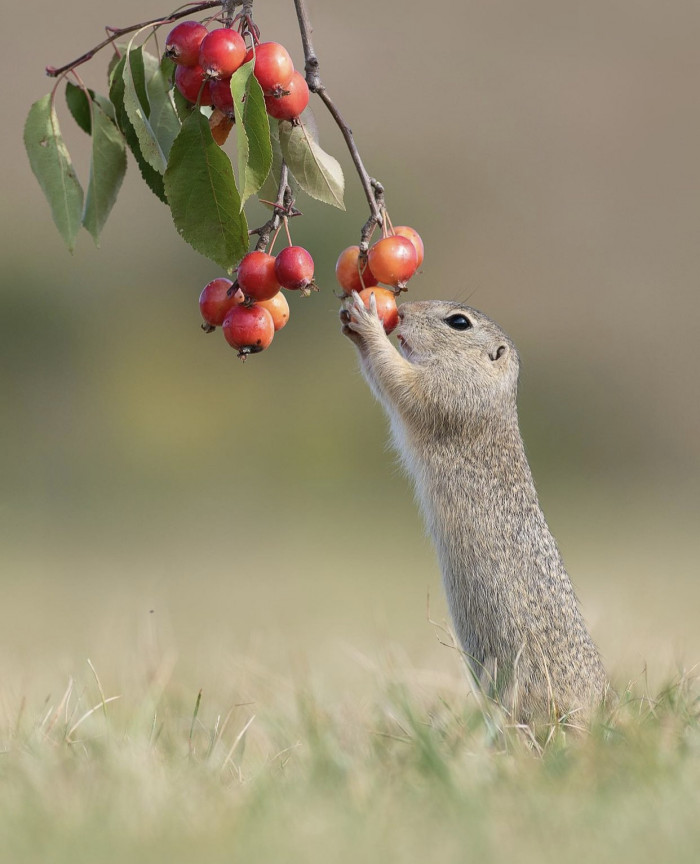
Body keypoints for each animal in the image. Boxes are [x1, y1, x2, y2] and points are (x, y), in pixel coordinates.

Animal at [340, 294, 608, 724]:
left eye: (459, 322)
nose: (403, 311)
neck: (490, 387)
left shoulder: (449, 393)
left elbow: (401, 382)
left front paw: (368, 325)